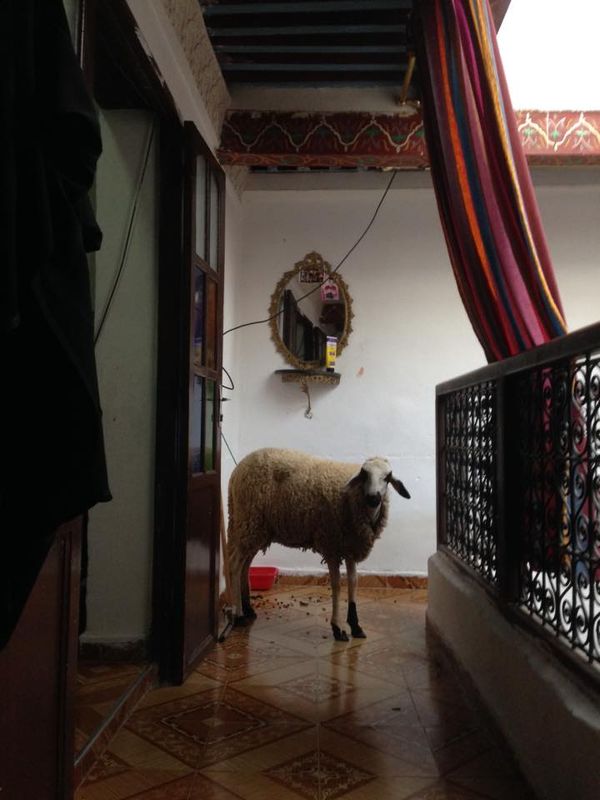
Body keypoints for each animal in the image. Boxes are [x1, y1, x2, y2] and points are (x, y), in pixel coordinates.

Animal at [227, 448, 410, 641]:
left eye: (388, 477)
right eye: (364, 474)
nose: (373, 498)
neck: (354, 502)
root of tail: (237, 470)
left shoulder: (350, 545)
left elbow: (353, 581)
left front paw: (355, 625)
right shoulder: (331, 544)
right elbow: (337, 584)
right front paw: (337, 628)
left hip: (253, 529)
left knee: (245, 565)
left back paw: (248, 609)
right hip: (248, 522)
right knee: (235, 565)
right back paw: (239, 615)